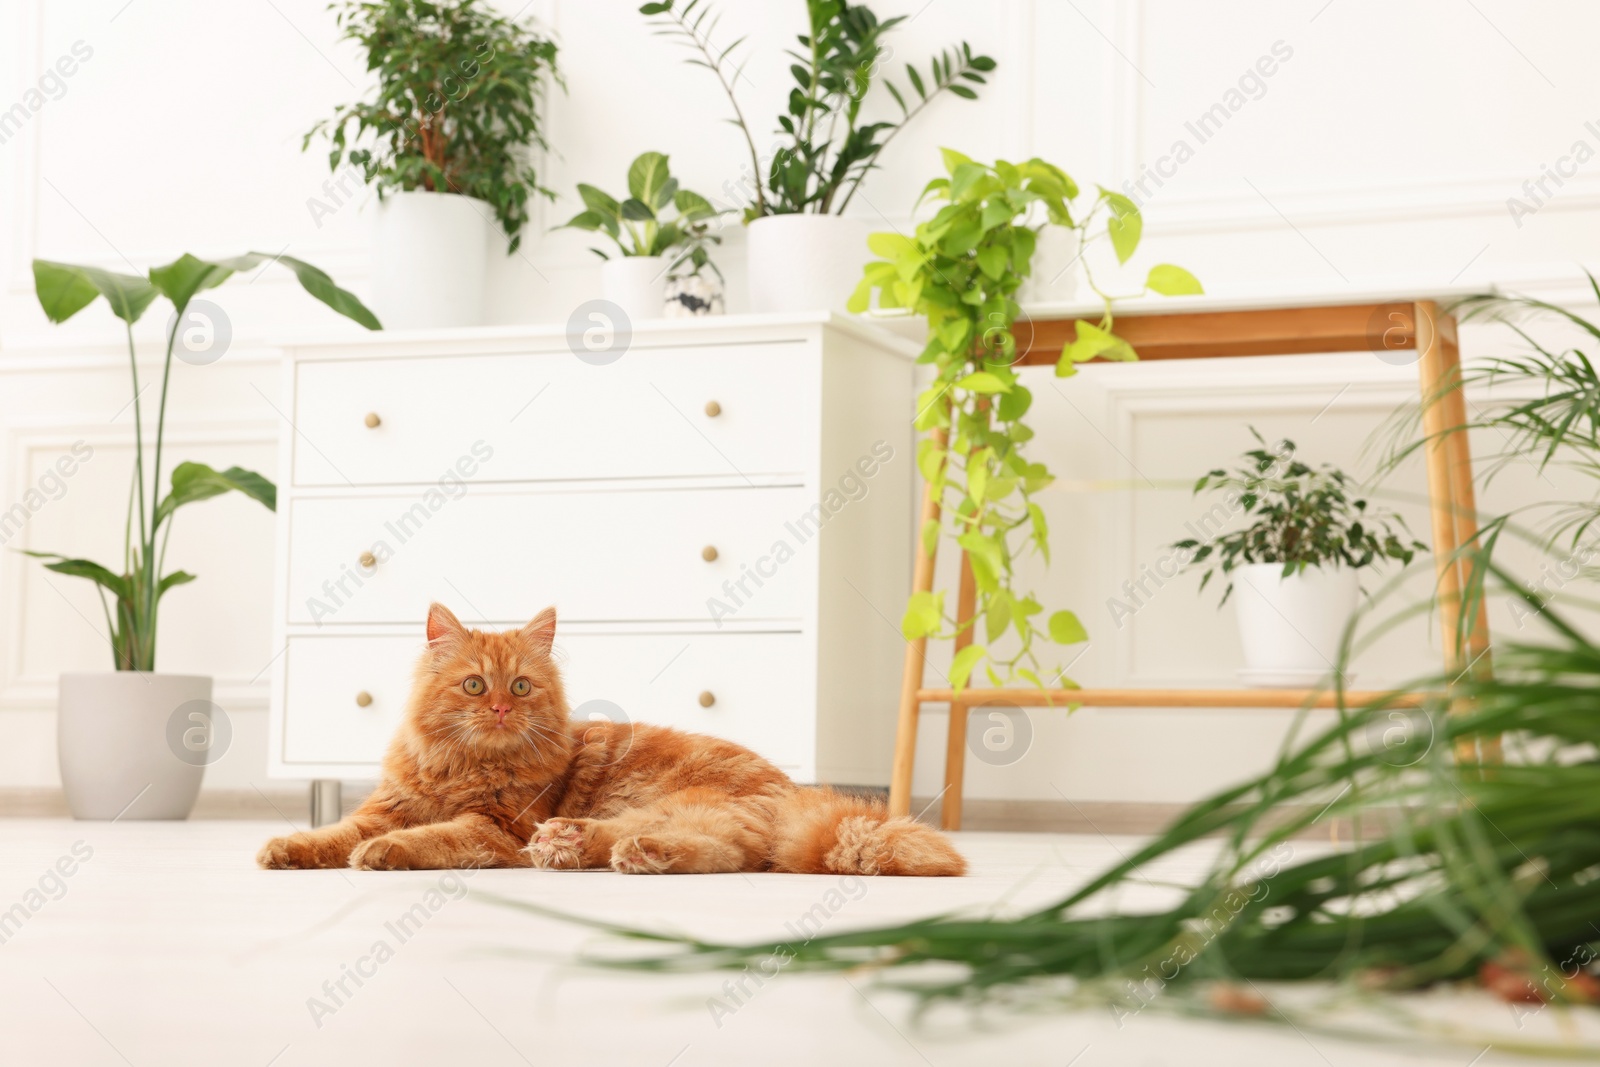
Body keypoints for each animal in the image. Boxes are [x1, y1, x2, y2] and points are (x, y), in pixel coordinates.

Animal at [256, 601, 966, 876]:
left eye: (520, 687)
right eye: (473, 686)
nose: (500, 710)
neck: (464, 766)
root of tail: (797, 791)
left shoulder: (495, 829)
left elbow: (430, 838)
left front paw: (385, 853)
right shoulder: (384, 806)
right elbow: (332, 834)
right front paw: (287, 848)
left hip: (671, 803)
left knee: (715, 852)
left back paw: (615, 850)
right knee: (728, 854)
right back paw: (587, 850)